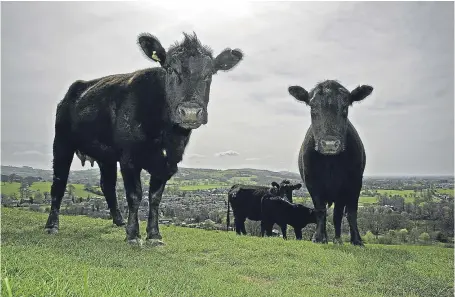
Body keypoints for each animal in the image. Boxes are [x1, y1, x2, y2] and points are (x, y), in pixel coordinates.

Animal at [45, 32, 244, 245]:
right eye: (171, 69)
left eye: (209, 73)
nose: (190, 112)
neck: (166, 135)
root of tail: (77, 88)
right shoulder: (129, 158)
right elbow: (135, 195)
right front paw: (133, 235)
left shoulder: (168, 162)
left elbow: (155, 197)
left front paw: (154, 234)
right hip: (62, 142)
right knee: (59, 182)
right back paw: (52, 225)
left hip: (106, 155)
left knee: (107, 185)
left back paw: (118, 221)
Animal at [288, 78, 374, 245]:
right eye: (313, 107)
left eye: (345, 106)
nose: (329, 144)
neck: (331, 164)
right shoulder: (312, 182)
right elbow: (320, 210)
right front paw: (318, 237)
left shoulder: (354, 183)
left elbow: (349, 213)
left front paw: (356, 240)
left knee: (337, 215)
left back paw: (338, 239)